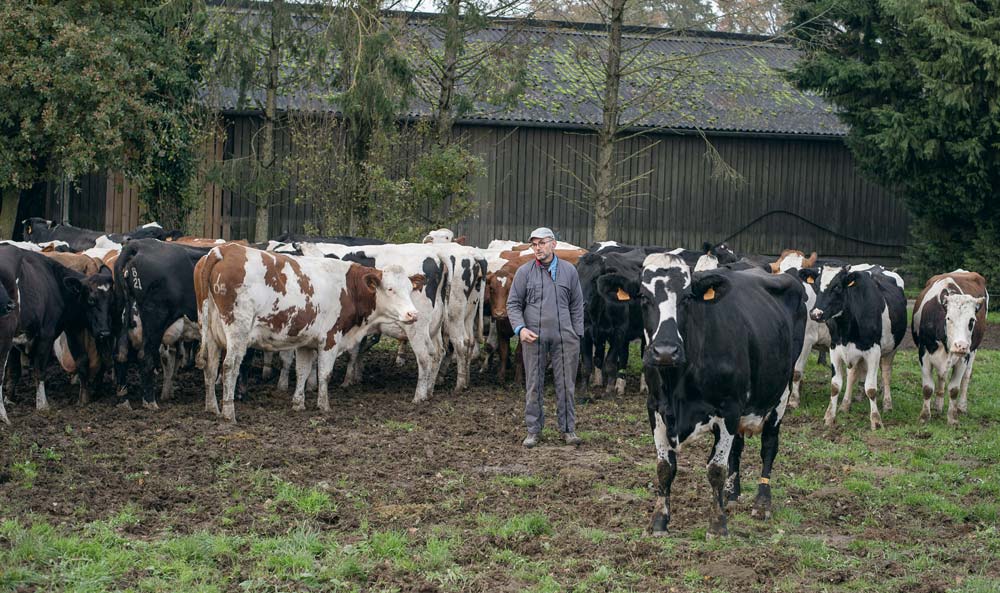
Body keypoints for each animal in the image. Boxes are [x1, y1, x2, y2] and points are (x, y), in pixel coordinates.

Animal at [0, 244, 114, 420]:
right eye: (91, 300)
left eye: (111, 301)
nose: (105, 332)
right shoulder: (45, 335)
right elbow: (38, 370)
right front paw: (42, 405)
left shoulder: (72, 327)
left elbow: (82, 360)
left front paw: (83, 399)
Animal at [195, 244, 418, 420]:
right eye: (390, 289)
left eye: (410, 289)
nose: (413, 314)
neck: (348, 287)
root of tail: (223, 250)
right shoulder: (330, 338)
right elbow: (325, 374)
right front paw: (324, 406)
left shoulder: (305, 342)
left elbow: (302, 371)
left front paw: (298, 403)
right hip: (237, 332)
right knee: (229, 367)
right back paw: (228, 413)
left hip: (211, 333)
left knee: (211, 366)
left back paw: (212, 408)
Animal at [600, 252, 804, 540]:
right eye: (643, 296)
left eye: (687, 298)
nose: (665, 351)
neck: (677, 386)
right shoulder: (655, 408)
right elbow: (665, 468)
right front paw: (659, 521)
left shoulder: (729, 408)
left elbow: (716, 469)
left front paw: (717, 525)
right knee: (737, 448)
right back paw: (731, 494)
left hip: (781, 393)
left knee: (769, 445)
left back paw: (762, 502)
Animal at [808, 266, 904, 428]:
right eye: (815, 285)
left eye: (837, 287)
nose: (816, 314)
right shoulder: (835, 348)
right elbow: (835, 385)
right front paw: (829, 417)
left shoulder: (874, 352)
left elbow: (871, 388)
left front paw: (876, 421)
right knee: (852, 374)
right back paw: (845, 405)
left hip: (891, 349)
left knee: (886, 374)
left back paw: (887, 404)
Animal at [912, 270, 988, 424]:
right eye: (948, 318)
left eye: (972, 320)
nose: (961, 346)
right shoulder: (924, 354)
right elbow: (928, 388)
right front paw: (924, 416)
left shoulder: (963, 358)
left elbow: (954, 390)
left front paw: (952, 418)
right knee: (941, 378)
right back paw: (938, 405)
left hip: (973, 351)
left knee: (966, 378)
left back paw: (962, 406)